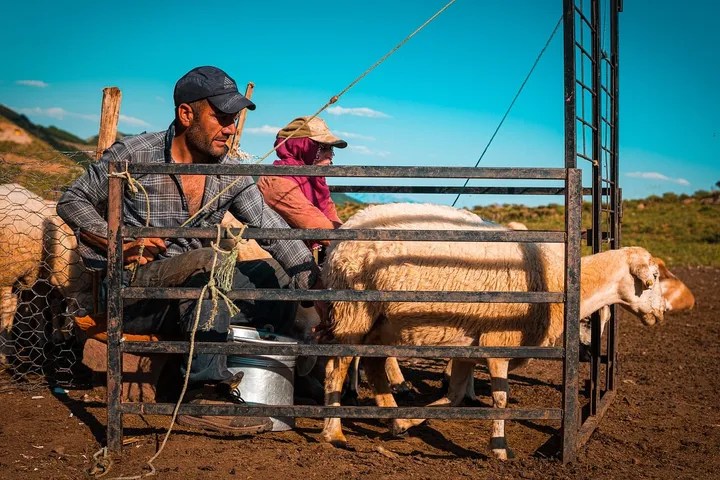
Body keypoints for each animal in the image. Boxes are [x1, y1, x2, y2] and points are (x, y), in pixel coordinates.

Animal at [318, 202, 665, 459]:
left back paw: (392, 417)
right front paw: (500, 450)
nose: (661, 314)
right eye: (654, 277)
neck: (558, 276)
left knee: (374, 364)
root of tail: (343, 234)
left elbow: (455, 397)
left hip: (382, 323)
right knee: (337, 367)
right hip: (353, 313)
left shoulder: (467, 348)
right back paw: (334, 432)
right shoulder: (499, 343)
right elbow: (499, 398)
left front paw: (408, 420)